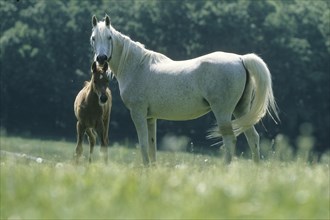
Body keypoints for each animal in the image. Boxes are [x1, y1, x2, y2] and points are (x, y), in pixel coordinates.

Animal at [90, 15, 278, 165]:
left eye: (109, 37)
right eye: (93, 38)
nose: (101, 59)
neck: (137, 66)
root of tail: (240, 59)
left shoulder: (138, 114)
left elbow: (143, 145)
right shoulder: (151, 117)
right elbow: (152, 147)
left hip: (223, 112)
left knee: (230, 140)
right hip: (241, 109)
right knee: (253, 138)